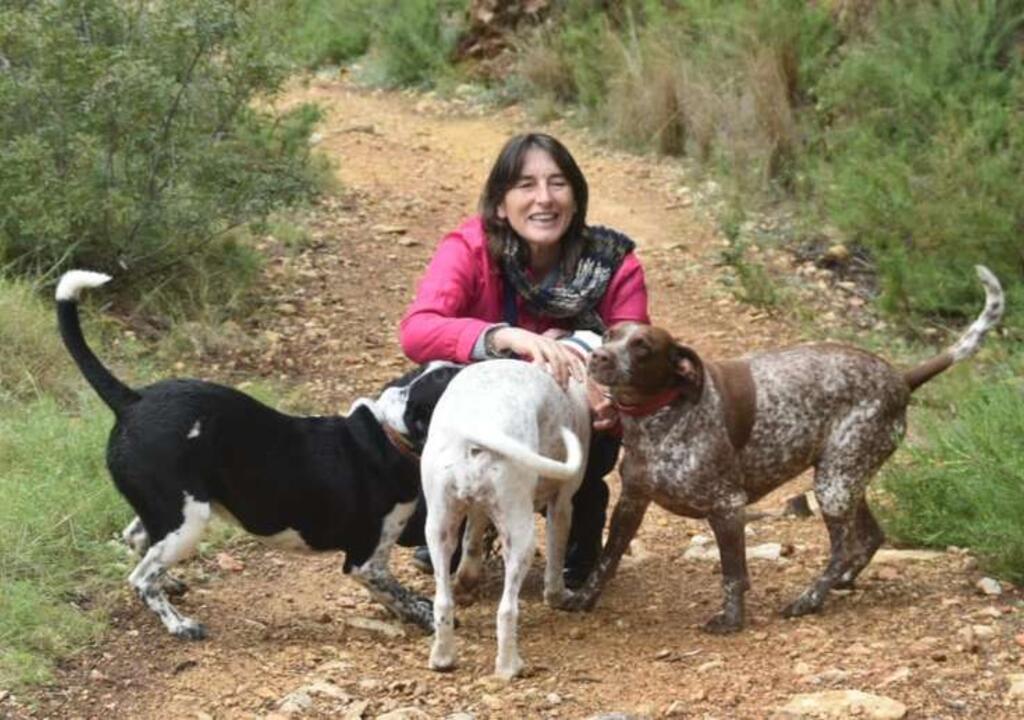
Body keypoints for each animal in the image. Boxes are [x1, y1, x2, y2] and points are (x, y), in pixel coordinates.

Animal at [57, 270, 462, 639]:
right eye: (453, 380)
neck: (389, 433)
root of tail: (131, 401)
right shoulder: (366, 562)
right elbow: (400, 594)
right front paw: (429, 618)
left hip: (171, 508)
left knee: (137, 541)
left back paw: (169, 584)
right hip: (188, 519)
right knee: (140, 579)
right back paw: (179, 624)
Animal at [421, 333, 598, 679]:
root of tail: (477, 429)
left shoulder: (478, 510)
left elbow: (472, 543)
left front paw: (467, 579)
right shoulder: (562, 506)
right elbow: (556, 561)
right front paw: (558, 596)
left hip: (439, 528)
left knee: (443, 602)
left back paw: (442, 657)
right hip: (522, 537)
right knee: (507, 610)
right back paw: (509, 666)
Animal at [564, 265, 1003, 633]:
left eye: (642, 346)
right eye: (609, 336)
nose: (599, 356)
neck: (659, 416)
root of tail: (900, 378)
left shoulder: (727, 506)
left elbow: (733, 574)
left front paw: (731, 621)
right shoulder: (631, 503)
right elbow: (606, 559)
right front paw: (583, 599)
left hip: (835, 483)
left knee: (844, 549)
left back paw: (809, 599)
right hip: (844, 477)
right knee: (869, 538)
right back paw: (840, 583)